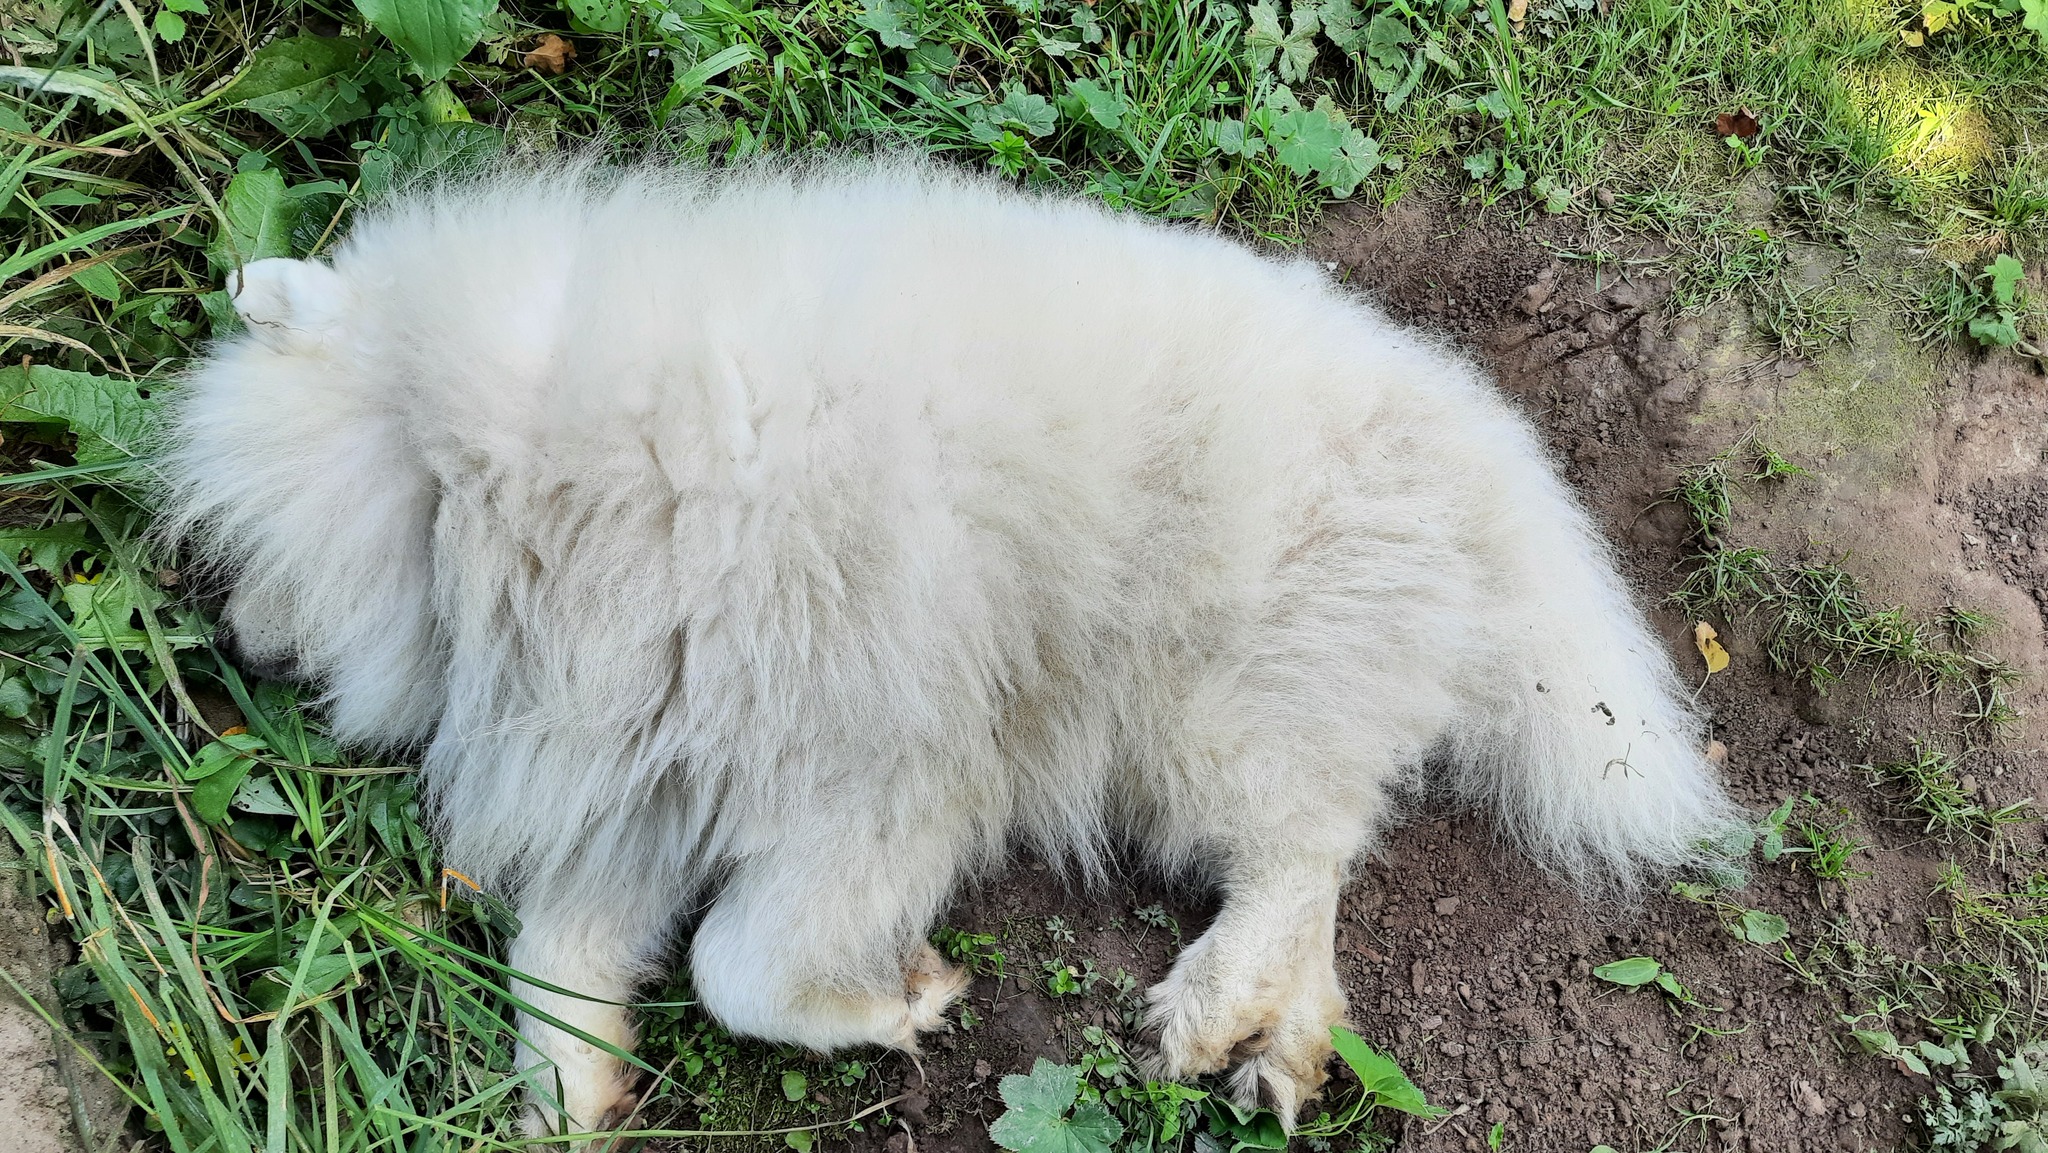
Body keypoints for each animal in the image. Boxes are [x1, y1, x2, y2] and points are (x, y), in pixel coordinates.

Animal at [155, 155, 1728, 1138]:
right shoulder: (657, 776)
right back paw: (1273, 1052)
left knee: (1303, 854)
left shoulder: (873, 793)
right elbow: (563, 960)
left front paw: (899, 999)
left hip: (1211, 715)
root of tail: (1479, 446)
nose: (227, 637)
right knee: (1322, 884)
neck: (533, 474)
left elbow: (736, 964)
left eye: (233, 540)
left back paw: (1209, 1010)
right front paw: (569, 1096)